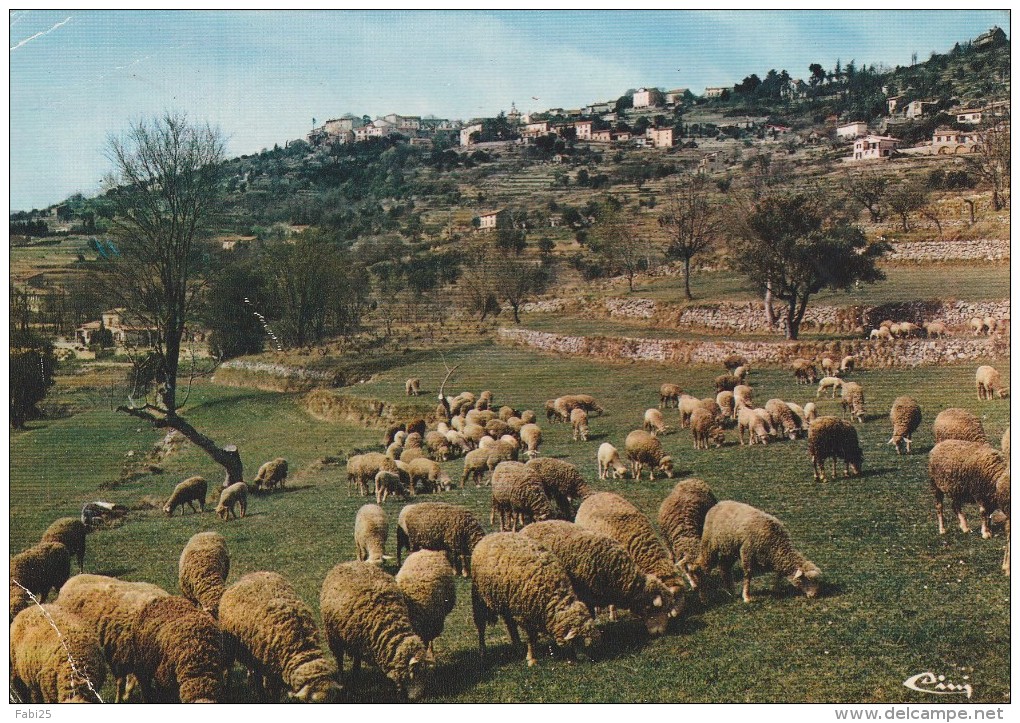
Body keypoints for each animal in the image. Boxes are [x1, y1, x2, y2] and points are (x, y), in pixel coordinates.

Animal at [320, 558, 428, 697]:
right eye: (414, 672)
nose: (420, 696)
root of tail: (348, 562)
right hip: (332, 635)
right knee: (339, 658)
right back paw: (342, 678)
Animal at [467, 530, 595, 664]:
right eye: (578, 640)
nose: (587, 659)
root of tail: (492, 534)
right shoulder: (526, 615)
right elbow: (531, 637)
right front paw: (531, 658)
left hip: (507, 602)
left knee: (511, 625)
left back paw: (518, 647)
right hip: (479, 598)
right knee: (481, 625)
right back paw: (483, 652)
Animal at [689, 499, 824, 599]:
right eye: (806, 579)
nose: (815, 595)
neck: (776, 543)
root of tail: (719, 503)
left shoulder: (774, 558)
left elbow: (778, 575)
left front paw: (775, 590)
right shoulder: (747, 551)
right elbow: (748, 574)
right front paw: (746, 596)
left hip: (730, 548)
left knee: (723, 567)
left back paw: (731, 592)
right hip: (710, 544)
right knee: (703, 566)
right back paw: (702, 592)